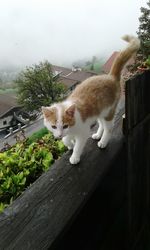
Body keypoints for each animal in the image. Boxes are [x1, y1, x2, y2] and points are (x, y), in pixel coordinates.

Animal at [42, 35, 139, 164]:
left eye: (65, 125)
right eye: (53, 126)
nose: (58, 135)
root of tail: (110, 76)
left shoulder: (82, 131)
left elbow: (78, 145)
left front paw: (75, 156)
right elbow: (66, 140)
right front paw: (69, 144)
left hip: (109, 110)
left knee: (108, 127)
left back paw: (103, 141)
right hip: (100, 110)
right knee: (101, 123)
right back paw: (98, 135)